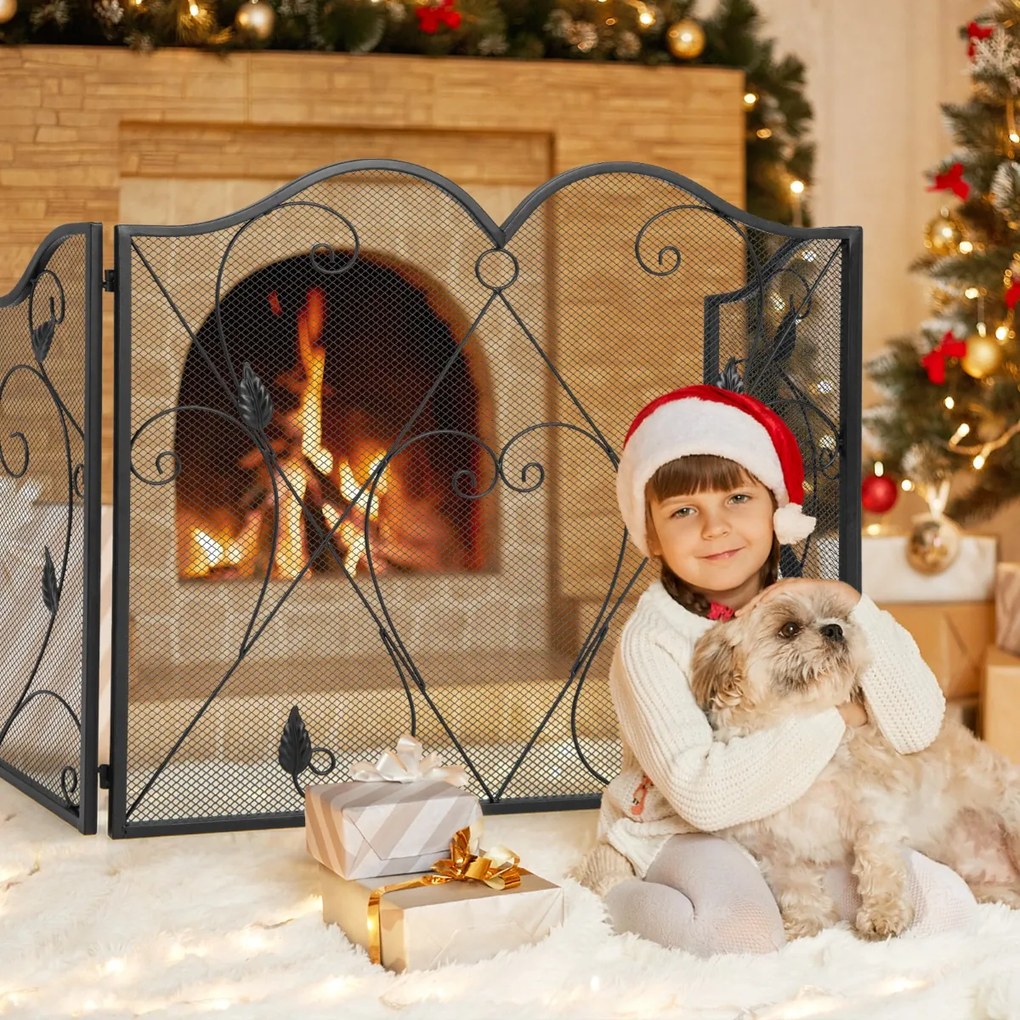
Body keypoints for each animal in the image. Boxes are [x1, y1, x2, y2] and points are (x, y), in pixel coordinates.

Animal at [689, 587, 1020, 942]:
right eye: (789, 629)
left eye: (842, 617)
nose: (835, 629)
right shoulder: (777, 852)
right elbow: (797, 888)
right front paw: (805, 924)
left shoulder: (877, 811)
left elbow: (876, 858)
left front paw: (883, 915)